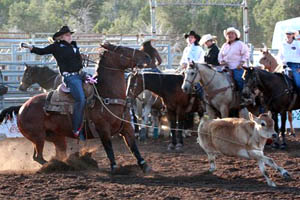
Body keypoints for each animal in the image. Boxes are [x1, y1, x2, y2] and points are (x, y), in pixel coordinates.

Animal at [17, 49, 151, 173]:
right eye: (123, 50)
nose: (146, 56)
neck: (105, 96)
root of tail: (22, 109)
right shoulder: (103, 129)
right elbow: (108, 147)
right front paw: (114, 167)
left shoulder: (127, 128)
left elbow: (133, 147)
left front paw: (144, 165)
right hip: (38, 137)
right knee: (38, 157)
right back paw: (65, 164)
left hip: (56, 137)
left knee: (53, 153)